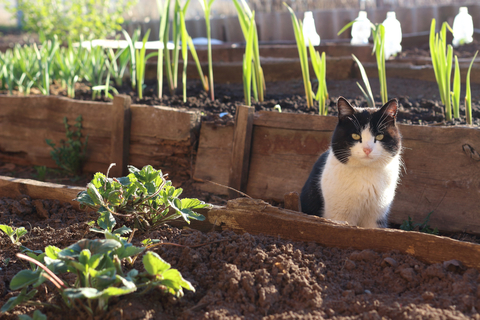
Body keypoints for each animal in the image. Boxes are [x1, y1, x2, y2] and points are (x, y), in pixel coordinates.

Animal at [302, 97, 404, 228]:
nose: (367, 149)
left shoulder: (377, 215)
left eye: (379, 136)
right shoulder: (339, 216)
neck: (366, 173)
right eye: (355, 136)